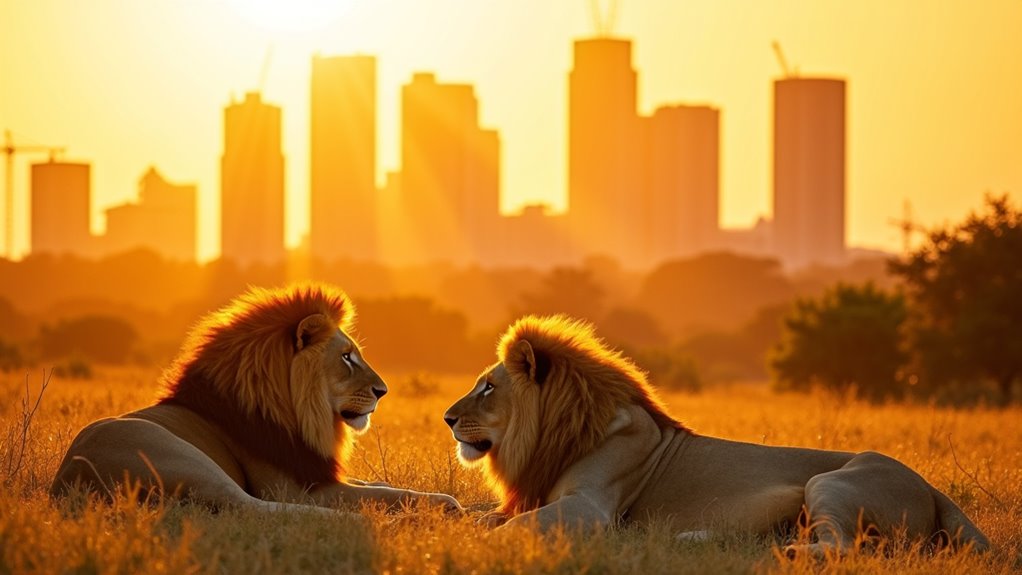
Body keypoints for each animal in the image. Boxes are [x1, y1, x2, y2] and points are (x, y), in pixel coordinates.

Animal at [51, 283, 461, 514]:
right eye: (346, 356)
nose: (383, 391)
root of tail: (70, 480)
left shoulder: (316, 470)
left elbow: (378, 486)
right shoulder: (304, 487)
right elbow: (383, 494)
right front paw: (448, 505)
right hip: (178, 456)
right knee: (259, 508)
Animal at [443, 315, 989, 555]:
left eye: (488, 387)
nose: (446, 419)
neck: (553, 436)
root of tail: (929, 485)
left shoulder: (590, 508)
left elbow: (511, 527)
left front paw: (474, 542)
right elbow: (479, 512)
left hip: (832, 483)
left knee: (848, 548)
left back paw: (788, 554)